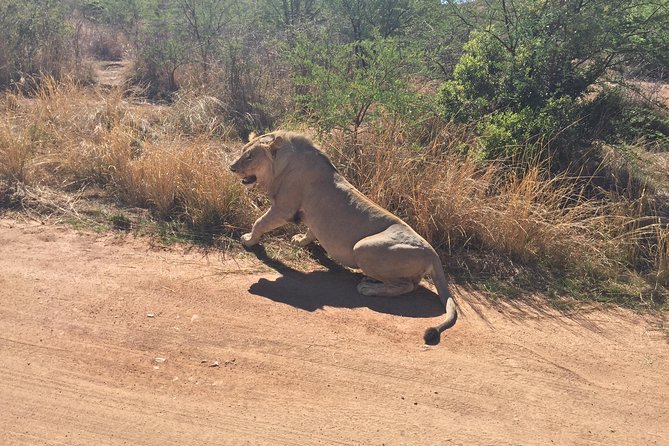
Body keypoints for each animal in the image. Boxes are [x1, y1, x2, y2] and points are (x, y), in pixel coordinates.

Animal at [228, 131, 454, 344]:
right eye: (243, 151)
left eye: (250, 156)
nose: (231, 167)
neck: (282, 164)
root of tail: (433, 253)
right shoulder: (310, 215)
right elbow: (311, 231)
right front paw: (300, 240)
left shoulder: (284, 208)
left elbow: (260, 222)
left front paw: (248, 240)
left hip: (363, 248)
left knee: (408, 286)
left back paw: (368, 288)